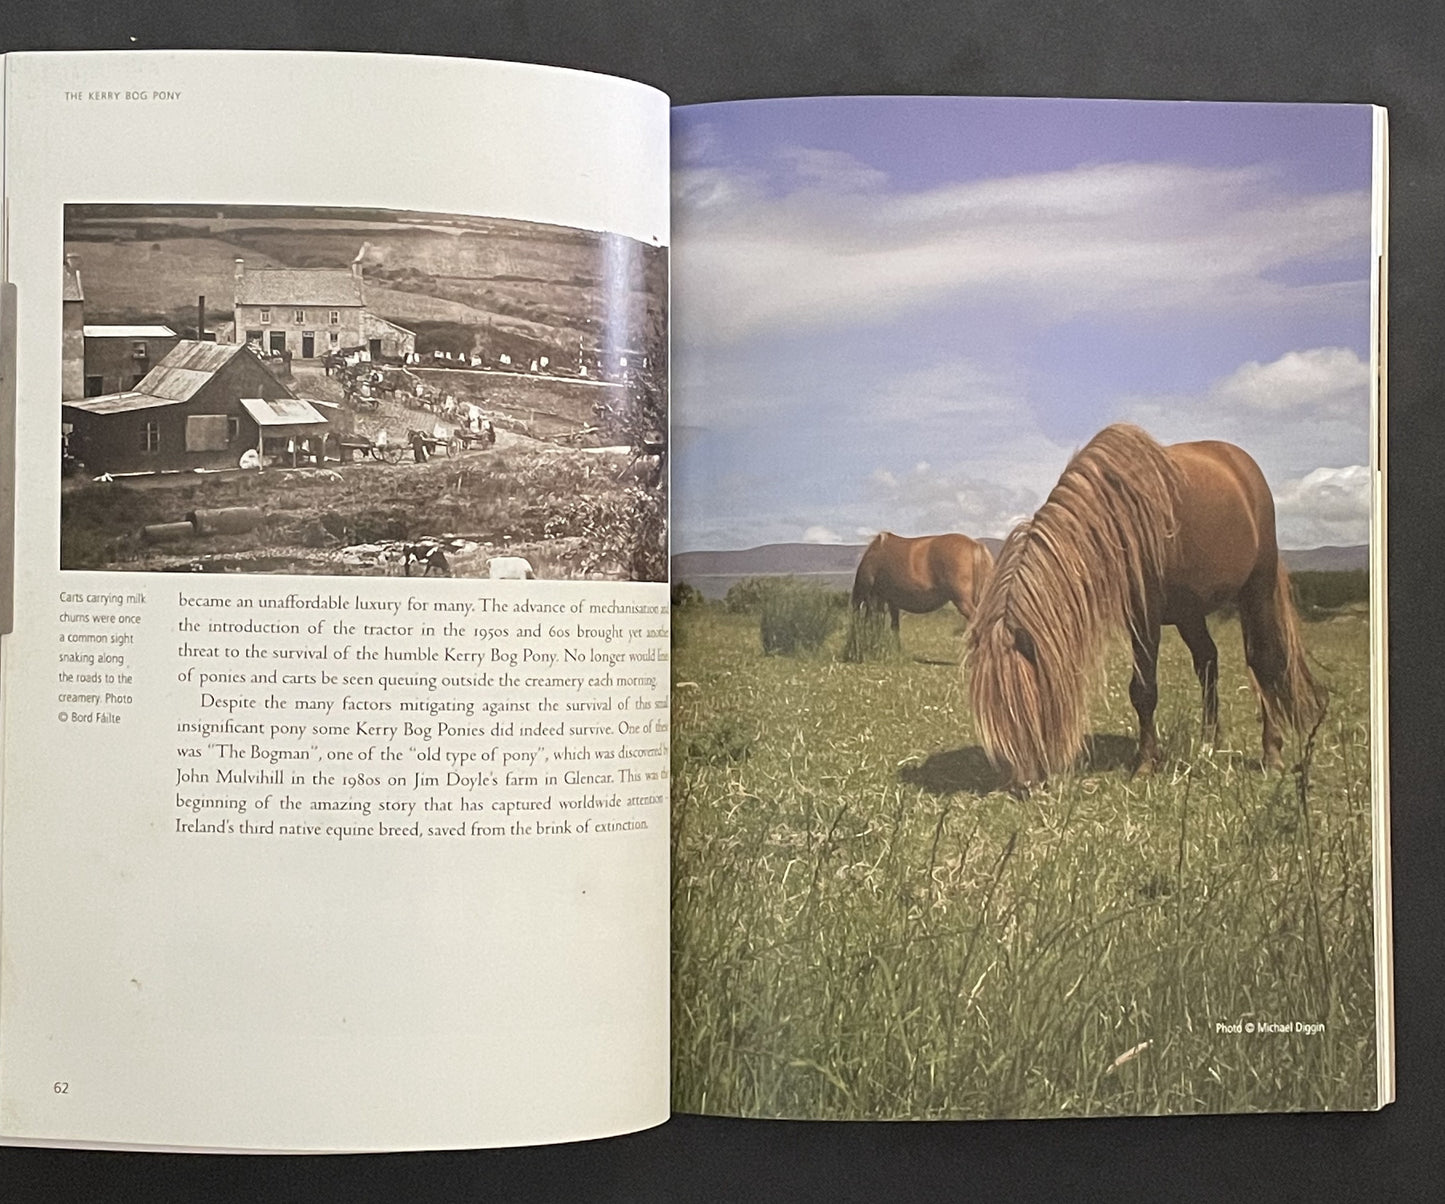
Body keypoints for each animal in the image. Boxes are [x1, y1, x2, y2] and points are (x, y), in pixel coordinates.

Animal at [965, 423, 1325, 789]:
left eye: (1026, 701)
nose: (1022, 783)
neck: (1114, 518)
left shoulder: (1146, 614)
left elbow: (1143, 691)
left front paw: (1144, 764)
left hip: (1256, 590)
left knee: (1262, 663)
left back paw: (1272, 753)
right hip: (1189, 612)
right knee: (1208, 662)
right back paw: (1208, 745)